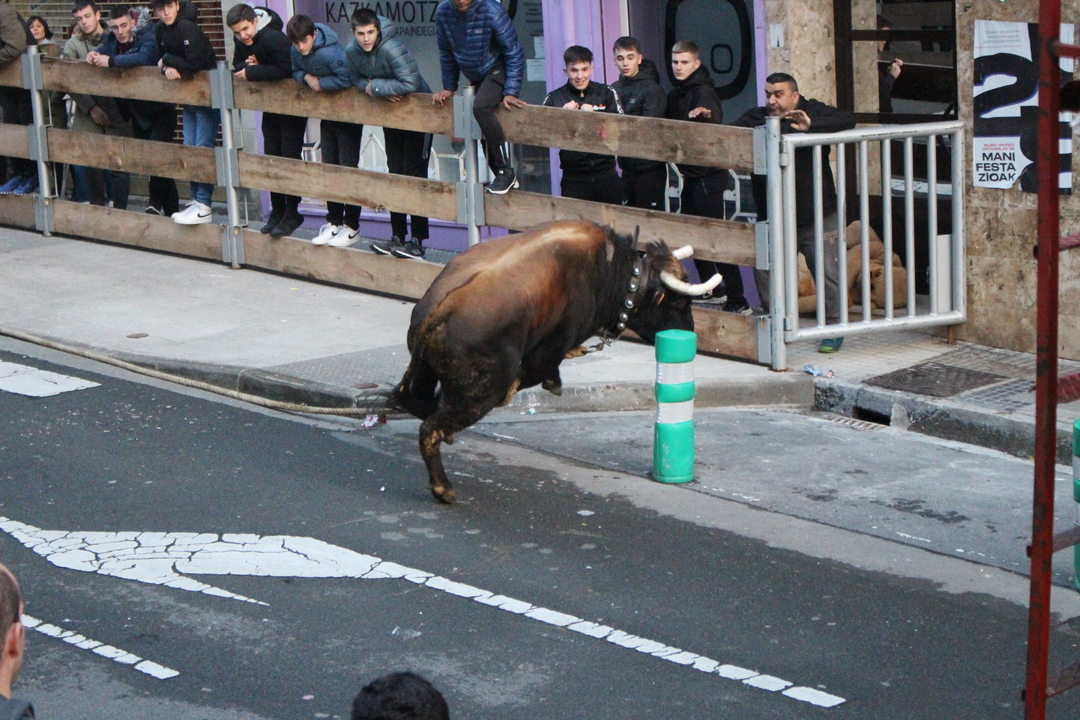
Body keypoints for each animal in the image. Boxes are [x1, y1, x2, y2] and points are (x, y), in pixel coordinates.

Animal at [393, 219, 722, 503]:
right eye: (679, 302)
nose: (690, 333)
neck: (607, 269)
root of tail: (440, 310)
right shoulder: (547, 352)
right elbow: (536, 374)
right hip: (479, 394)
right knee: (430, 428)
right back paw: (443, 488)